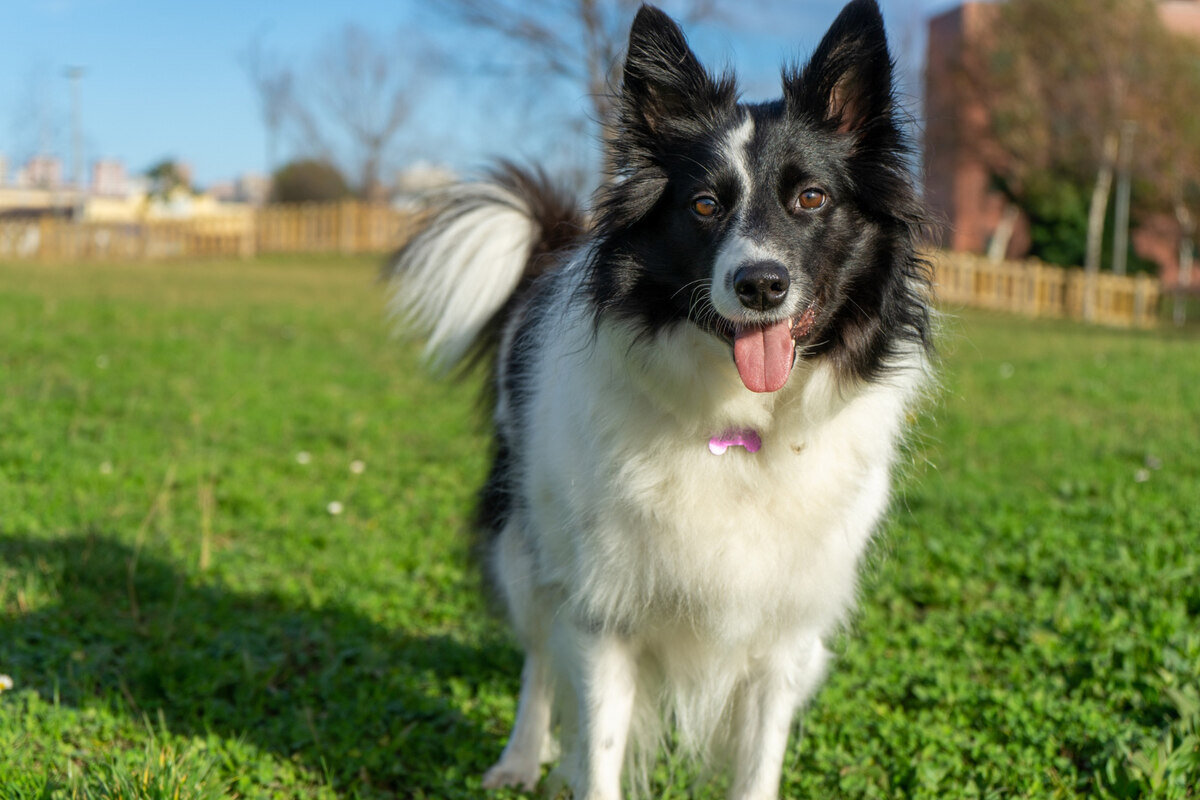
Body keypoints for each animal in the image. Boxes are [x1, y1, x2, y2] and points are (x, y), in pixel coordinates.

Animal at [388, 3, 931, 796]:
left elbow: (758, 762)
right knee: (539, 659)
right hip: (526, 539)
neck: (738, 426)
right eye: (704, 205)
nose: (760, 284)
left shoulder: (785, 631)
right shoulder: (603, 611)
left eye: (811, 198)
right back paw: (519, 757)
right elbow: (599, 746)